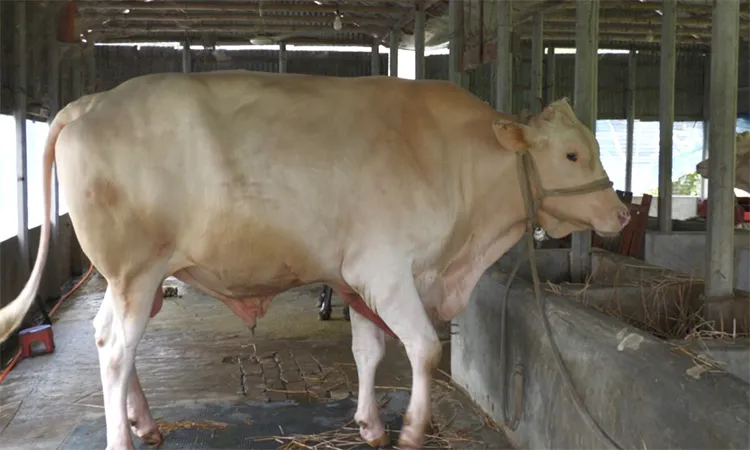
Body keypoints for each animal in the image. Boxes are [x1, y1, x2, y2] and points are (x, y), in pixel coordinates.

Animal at [0, 70, 630, 450]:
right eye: (572, 154)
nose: (622, 214)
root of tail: (91, 101)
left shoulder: (355, 278)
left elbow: (369, 351)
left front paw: (371, 425)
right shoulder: (386, 271)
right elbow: (424, 349)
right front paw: (412, 429)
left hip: (135, 279)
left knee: (114, 343)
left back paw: (147, 423)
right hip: (135, 271)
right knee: (114, 347)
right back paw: (123, 436)